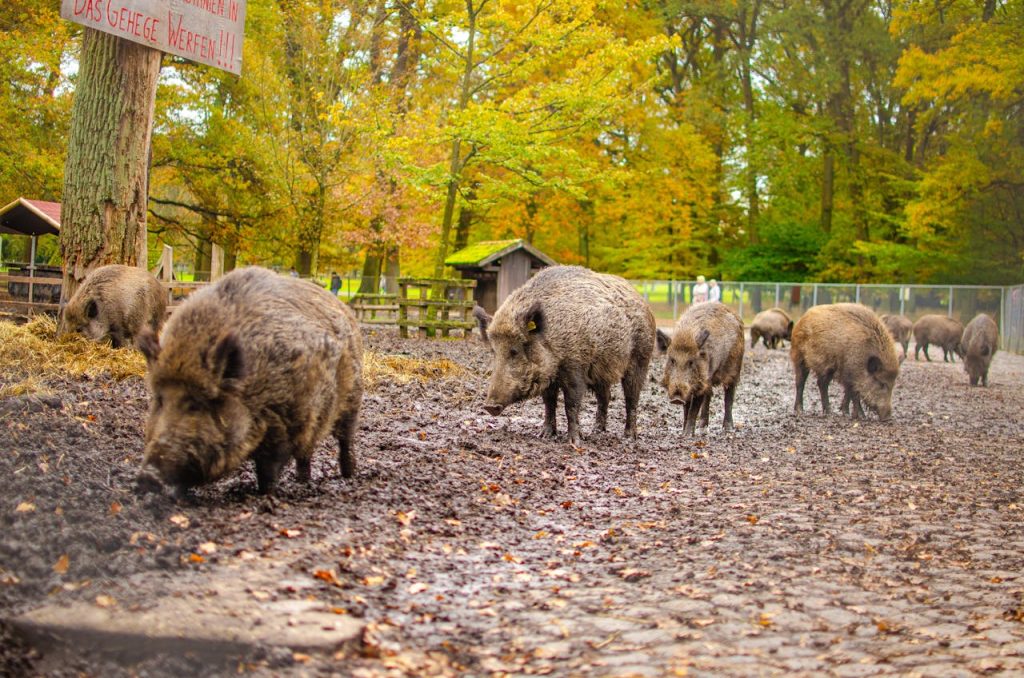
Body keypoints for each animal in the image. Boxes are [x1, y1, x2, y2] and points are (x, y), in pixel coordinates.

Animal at [136, 266, 362, 495]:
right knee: (307, 449)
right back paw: (302, 480)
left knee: (345, 438)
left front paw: (265, 493)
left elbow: (268, 468)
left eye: (196, 404)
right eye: (160, 400)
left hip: (352, 399)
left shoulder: (283, 421)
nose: (148, 477)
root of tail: (344, 309)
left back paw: (348, 474)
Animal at [473, 265, 656, 445]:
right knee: (605, 397)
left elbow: (571, 405)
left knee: (632, 398)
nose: (489, 406)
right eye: (493, 351)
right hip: (601, 370)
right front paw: (544, 435)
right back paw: (596, 431)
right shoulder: (549, 378)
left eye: (515, 351)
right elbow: (549, 404)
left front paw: (574, 442)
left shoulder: (575, 367)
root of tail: (643, 301)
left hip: (641, 358)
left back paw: (629, 437)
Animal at [656, 302, 744, 435]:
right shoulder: (692, 387)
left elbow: (694, 408)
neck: (686, 335)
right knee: (709, 395)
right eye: (672, 360)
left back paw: (728, 429)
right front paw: (683, 432)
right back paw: (702, 428)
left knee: (729, 395)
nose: (677, 398)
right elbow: (686, 407)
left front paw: (687, 435)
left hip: (734, 368)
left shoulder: (700, 382)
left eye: (691, 362)